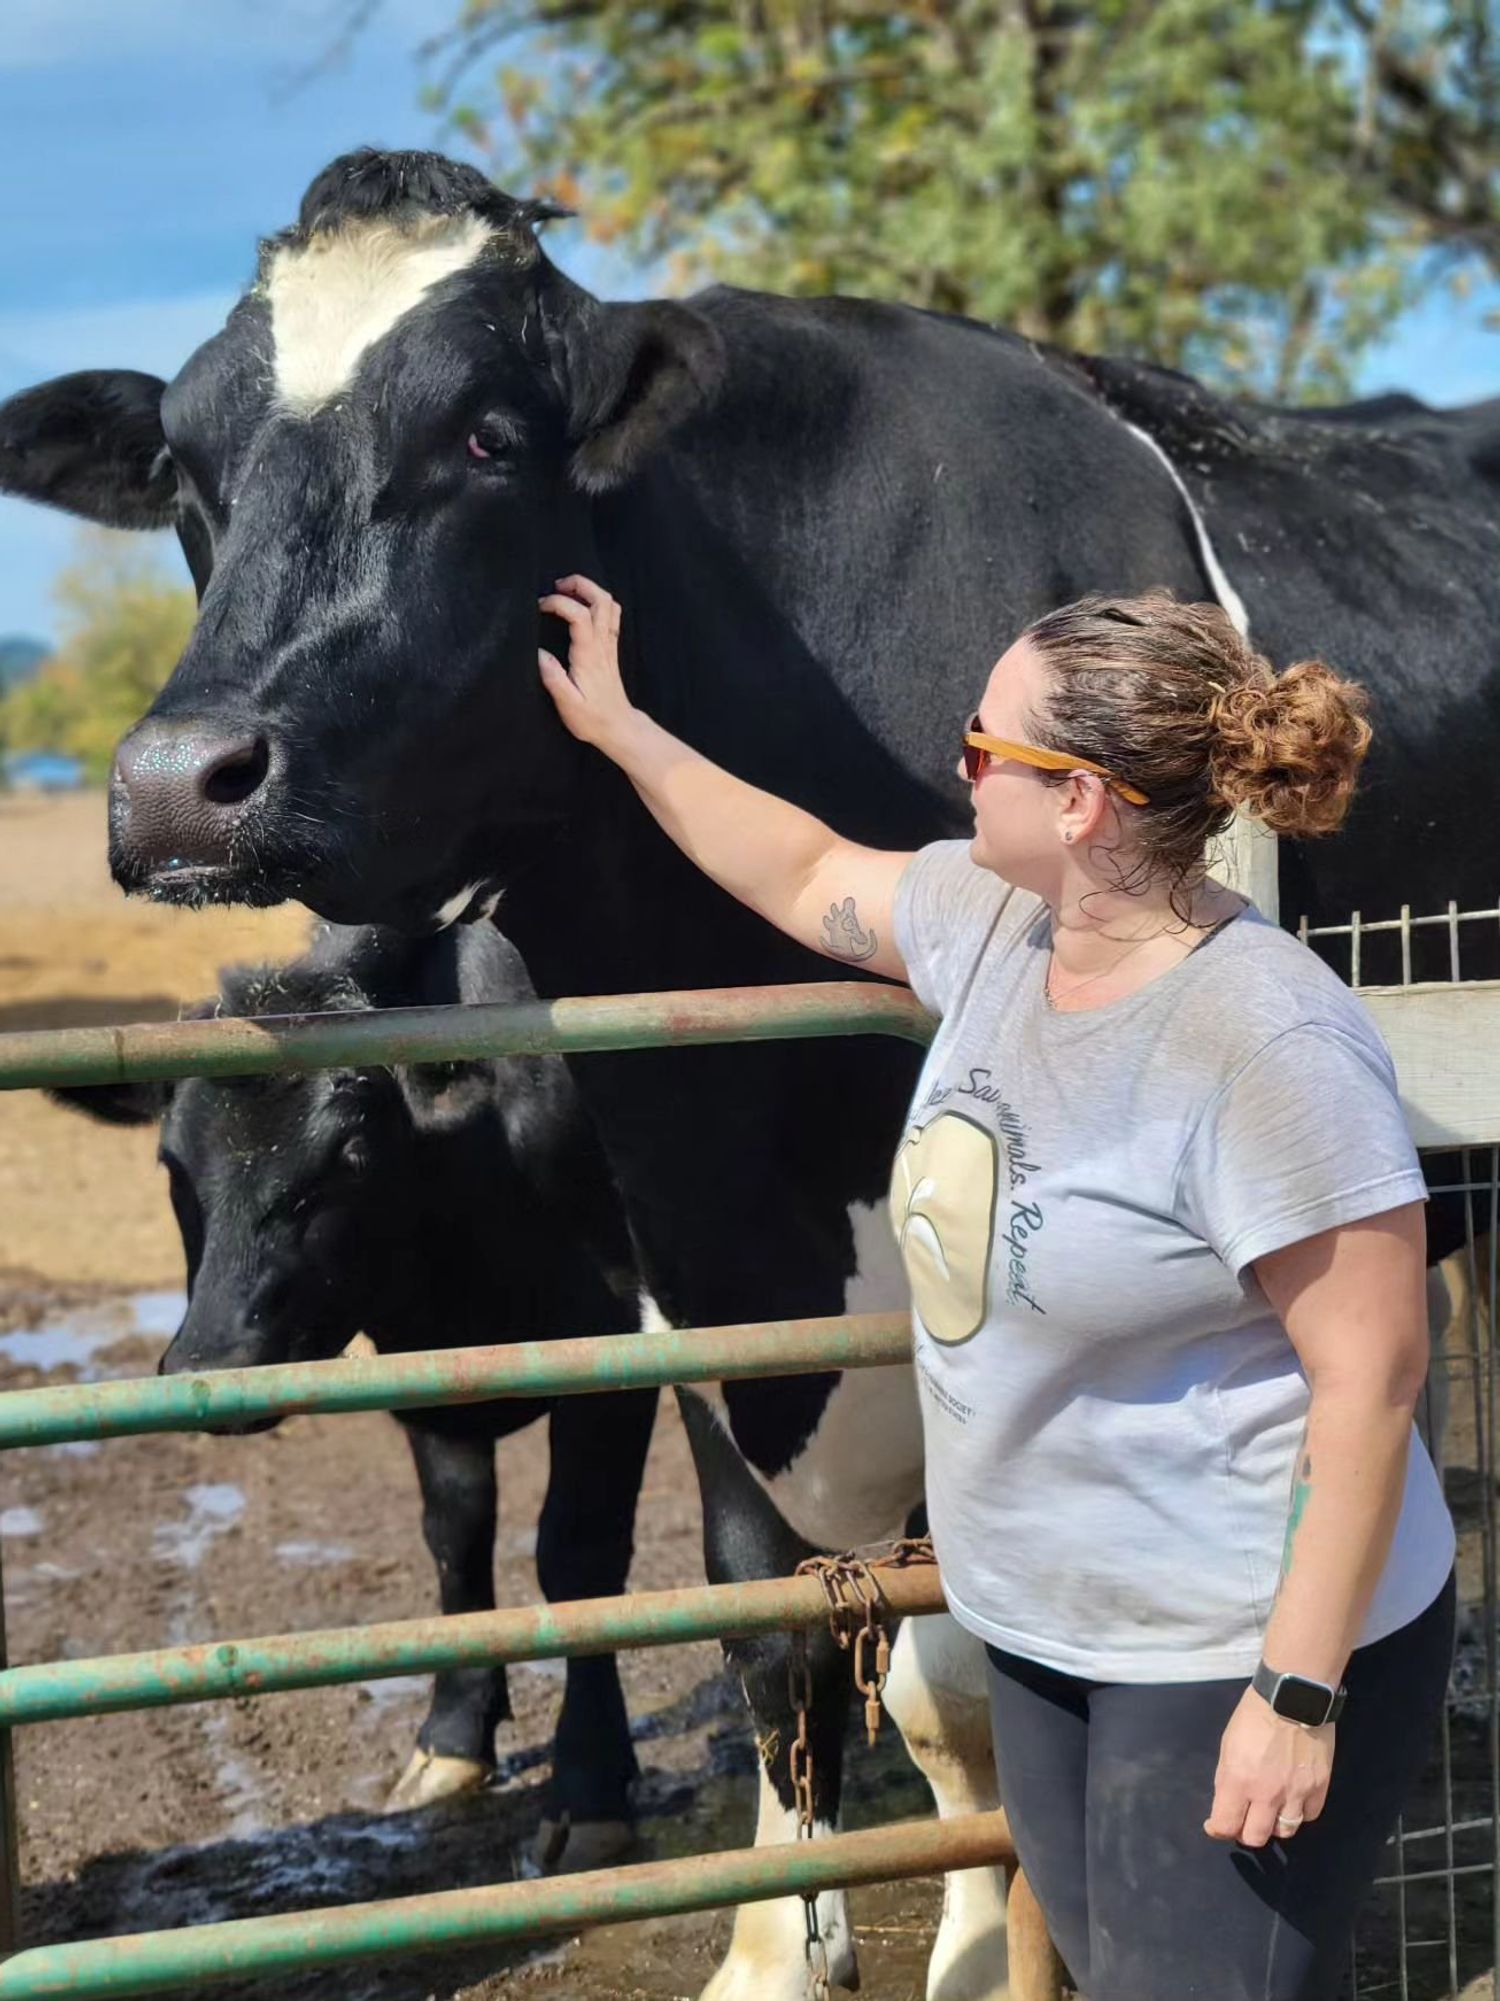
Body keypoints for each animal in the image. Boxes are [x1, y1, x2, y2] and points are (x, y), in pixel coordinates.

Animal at [52, 919, 654, 1865]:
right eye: (170, 1161)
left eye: (354, 1155)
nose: (213, 1360)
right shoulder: (430, 1376)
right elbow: (456, 1539)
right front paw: (451, 1740)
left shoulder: (615, 1342)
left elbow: (577, 1555)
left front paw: (589, 1784)